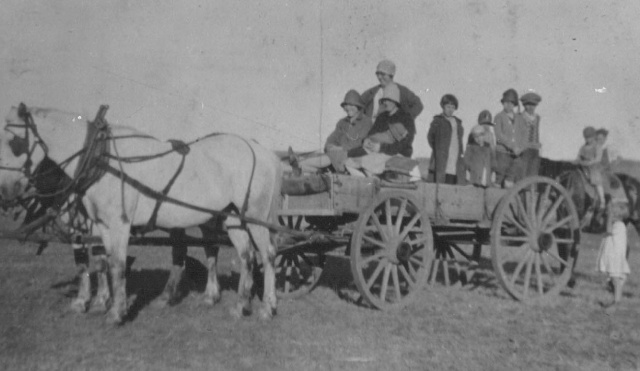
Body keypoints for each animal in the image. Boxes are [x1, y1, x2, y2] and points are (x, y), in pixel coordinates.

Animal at [0, 103, 282, 324]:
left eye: (14, 143)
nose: (5, 190)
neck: (100, 160)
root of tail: (264, 152)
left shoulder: (118, 224)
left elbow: (115, 264)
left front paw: (114, 312)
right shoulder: (101, 225)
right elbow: (104, 262)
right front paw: (102, 303)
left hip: (256, 217)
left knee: (267, 255)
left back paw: (267, 307)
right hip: (233, 217)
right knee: (245, 256)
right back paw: (239, 306)